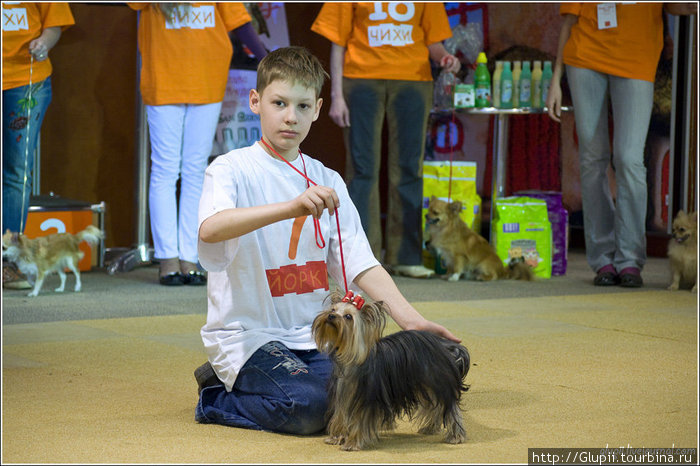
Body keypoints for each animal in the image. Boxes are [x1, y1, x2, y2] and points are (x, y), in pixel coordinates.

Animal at [312, 290, 470, 450]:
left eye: (348, 317)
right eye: (333, 310)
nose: (331, 316)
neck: (349, 358)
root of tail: (446, 346)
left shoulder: (366, 397)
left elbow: (359, 420)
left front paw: (352, 443)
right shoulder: (342, 392)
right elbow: (341, 415)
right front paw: (336, 437)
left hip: (436, 380)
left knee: (449, 407)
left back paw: (455, 436)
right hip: (426, 385)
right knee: (434, 405)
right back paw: (430, 428)